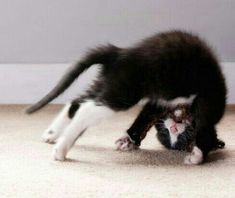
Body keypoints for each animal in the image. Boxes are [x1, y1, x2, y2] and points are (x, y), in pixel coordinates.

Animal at [26, 30, 227, 165]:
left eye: (178, 135)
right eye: (172, 134)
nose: (175, 127)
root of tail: (120, 54)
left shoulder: (157, 104)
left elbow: (142, 117)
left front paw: (129, 140)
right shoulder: (208, 101)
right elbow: (205, 131)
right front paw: (197, 156)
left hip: (108, 82)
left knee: (77, 102)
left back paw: (52, 134)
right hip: (126, 89)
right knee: (86, 110)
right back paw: (61, 150)